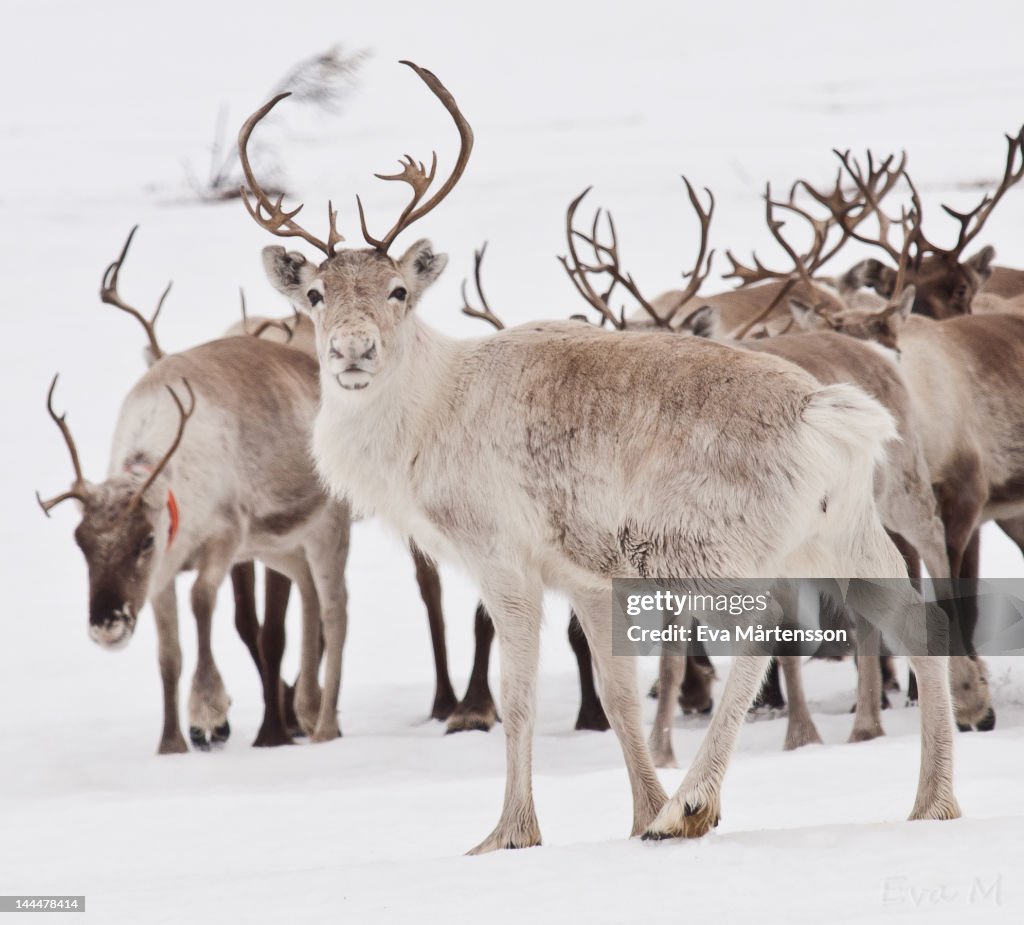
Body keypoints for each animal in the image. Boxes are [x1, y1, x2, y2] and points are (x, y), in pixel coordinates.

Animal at [38, 243, 352, 753]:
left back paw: (324, 724)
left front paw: (208, 712)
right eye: (80, 541)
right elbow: (169, 653)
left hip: (326, 528)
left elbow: (203, 602)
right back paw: (306, 708)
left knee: (334, 608)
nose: (107, 626)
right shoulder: (162, 576)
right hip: (277, 543)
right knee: (307, 590)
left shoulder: (224, 539)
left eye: (144, 540)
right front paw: (171, 742)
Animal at [239, 59, 960, 852]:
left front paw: (510, 832)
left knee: (762, 633)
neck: (426, 415)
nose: (352, 351)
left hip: (714, 549)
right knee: (918, 619)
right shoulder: (585, 574)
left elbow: (519, 698)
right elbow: (616, 696)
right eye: (314, 294)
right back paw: (933, 802)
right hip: (847, 535)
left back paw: (693, 806)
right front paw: (639, 811)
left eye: (398, 290)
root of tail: (824, 416)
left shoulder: (504, 558)